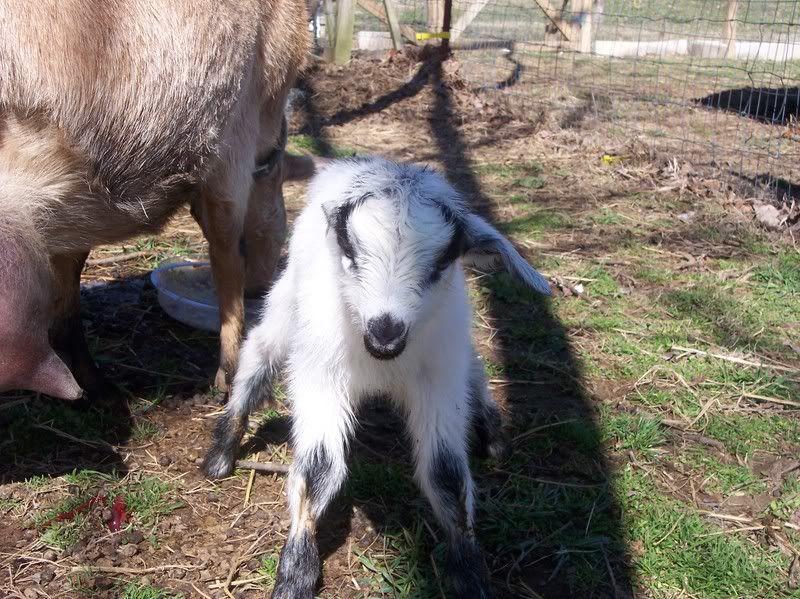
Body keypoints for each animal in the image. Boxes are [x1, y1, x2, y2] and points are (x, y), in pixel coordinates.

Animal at [203, 157, 552, 596]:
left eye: (442, 262)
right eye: (349, 249)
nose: (385, 332)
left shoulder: (440, 376)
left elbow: (445, 473)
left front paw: (468, 569)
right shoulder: (321, 372)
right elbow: (319, 469)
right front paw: (295, 571)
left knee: (475, 369)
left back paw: (493, 435)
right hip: (286, 306)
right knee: (258, 355)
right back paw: (221, 452)